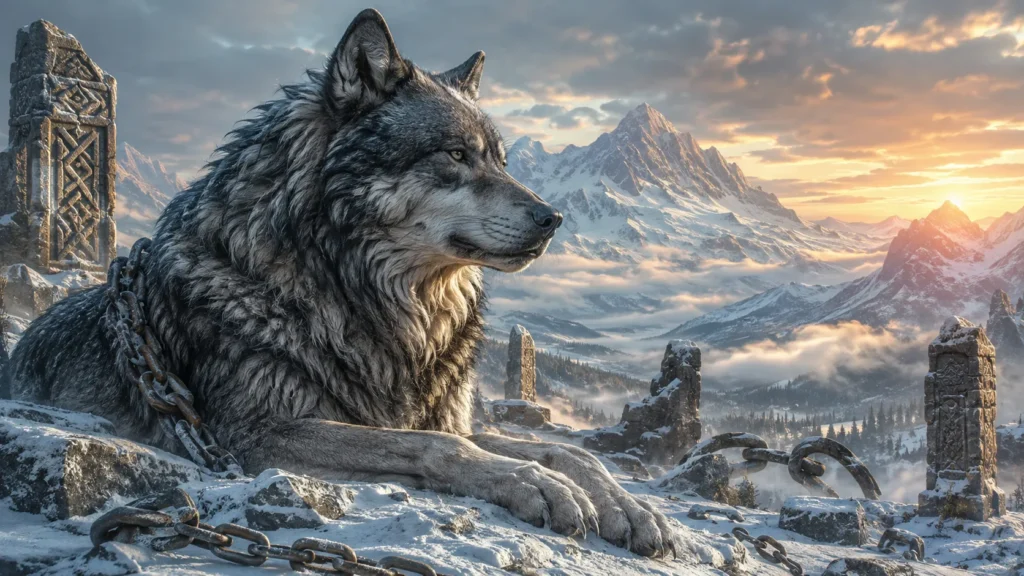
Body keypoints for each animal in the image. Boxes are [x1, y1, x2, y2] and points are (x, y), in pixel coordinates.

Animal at [8, 9, 679, 557]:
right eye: (456, 155)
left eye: (501, 161)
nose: (553, 219)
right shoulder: (258, 434)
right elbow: (441, 448)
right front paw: (535, 485)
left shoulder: (447, 416)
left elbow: (567, 449)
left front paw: (625, 505)